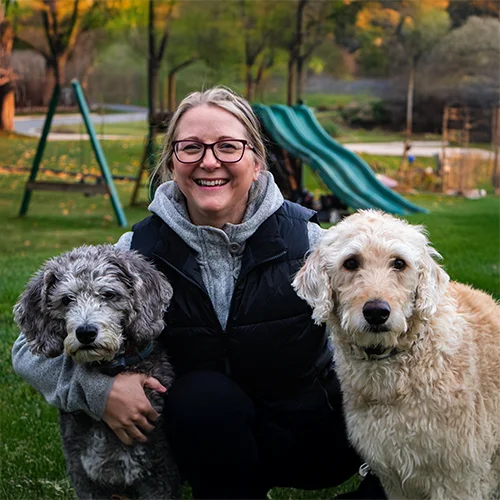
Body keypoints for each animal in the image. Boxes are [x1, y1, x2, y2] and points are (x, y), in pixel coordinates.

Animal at [12, 245, 181, 500]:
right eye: (66, 299)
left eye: (109, 294)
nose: (85, 332)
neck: (113, 367)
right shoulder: (84, 477)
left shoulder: (159, 476)